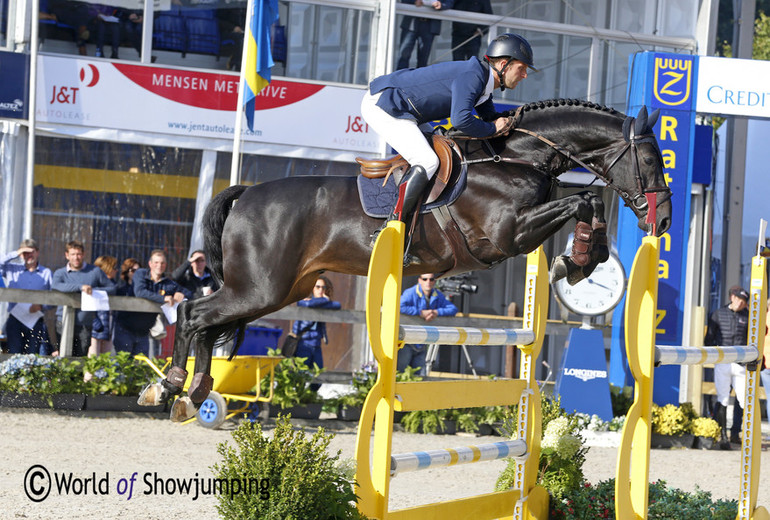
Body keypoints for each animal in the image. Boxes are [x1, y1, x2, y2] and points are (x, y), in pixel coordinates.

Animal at [141, 99, 668, 420]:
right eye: (651, 161)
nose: (661, 220)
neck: (516, 157)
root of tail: (247, 193)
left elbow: (589, 203)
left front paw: (581, 260)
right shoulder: (507, 235)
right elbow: (583, 201)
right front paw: (573, 263)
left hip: (277, 290)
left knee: (206, 320)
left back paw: (194, 392)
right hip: (260, 287)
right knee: (191, 311)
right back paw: (169, 386)